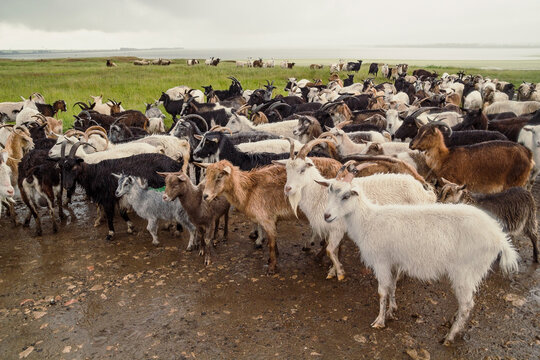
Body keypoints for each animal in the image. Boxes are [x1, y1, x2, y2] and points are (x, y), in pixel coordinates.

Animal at [320, 179, 520, 344]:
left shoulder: (381, 261)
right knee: (467, 303)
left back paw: (450, 336)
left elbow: (382, 292)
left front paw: (379, 321)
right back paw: (453, 323)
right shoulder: (393, 261)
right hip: (474, 271)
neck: (367, 221)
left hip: (465, 270)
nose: (326, 216)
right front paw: (392, 310)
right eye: (329, 192)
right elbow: (392, 287)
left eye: (346, 196)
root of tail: (499, 237)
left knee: (467, 305)